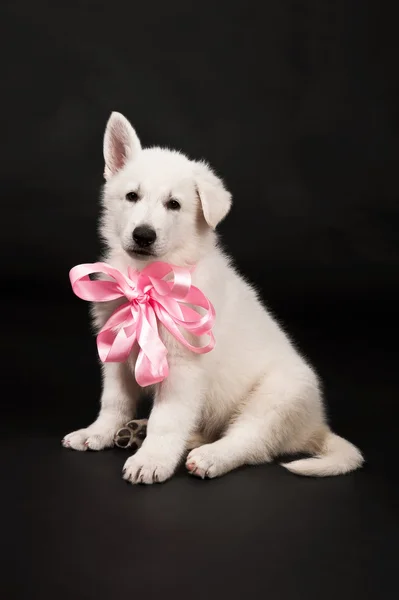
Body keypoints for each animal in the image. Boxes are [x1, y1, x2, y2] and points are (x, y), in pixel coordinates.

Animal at [61, 112, 362, 482]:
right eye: (132, 196)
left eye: (173, 204)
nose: (143, 235)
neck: (150, 279)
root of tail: (314, 427)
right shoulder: (117, 351)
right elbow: (113, 402)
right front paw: (98, 433)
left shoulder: (183, 367)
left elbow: (167, 420)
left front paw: (152, 459)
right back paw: (139, 432)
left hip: (279, 395)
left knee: (251, 440)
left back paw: (211, 456)